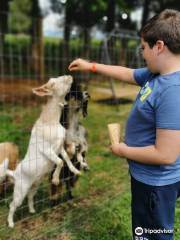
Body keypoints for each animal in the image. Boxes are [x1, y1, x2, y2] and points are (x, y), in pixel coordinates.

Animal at [0, 75, 80, 227]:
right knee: (12, 205)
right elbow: (60, 162)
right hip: (20, 190)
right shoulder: (47, 149)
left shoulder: (59, 147)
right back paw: (11, 223)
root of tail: (15, 173)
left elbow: (66, 158)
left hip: (34, 185)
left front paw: (75, 170)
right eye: (52, 83)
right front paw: (55, 179)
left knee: (30, 196)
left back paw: (32, 210)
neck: (50, 122)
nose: (69, 76)